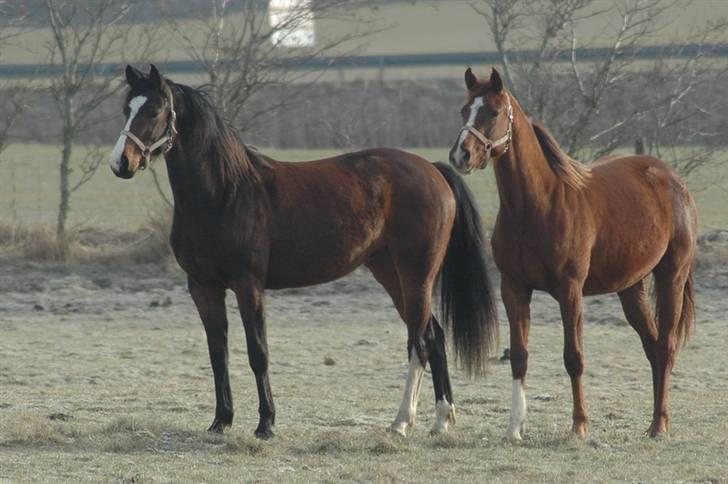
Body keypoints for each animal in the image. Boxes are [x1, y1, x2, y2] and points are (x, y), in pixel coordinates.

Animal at [109, 66, 500, 440]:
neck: (223, 193)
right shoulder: (203, 287)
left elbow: (258, 353)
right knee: (435, 336)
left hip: (416, 274)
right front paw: (221, 421)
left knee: (420, 341)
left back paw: (402, 422)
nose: (121, 163)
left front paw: (266, 424)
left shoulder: (248, 285)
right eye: (126, 109)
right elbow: (218, 354)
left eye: (155, 110)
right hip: (390, 273)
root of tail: (432, 169)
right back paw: (442, 419)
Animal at [450, 67, 700, 438]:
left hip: (672, 276)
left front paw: (579, 425)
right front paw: (514, 429)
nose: (461, 156)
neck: (536, 206)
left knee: (666, 346)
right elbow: (519, 356)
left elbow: (574, 357)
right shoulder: (514, 288)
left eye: (493, 112)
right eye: (464, 111)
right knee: (653, 346)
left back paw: (659, 425)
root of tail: (673, 180)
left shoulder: (570, 291)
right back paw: (657, 421)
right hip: (632, 288)